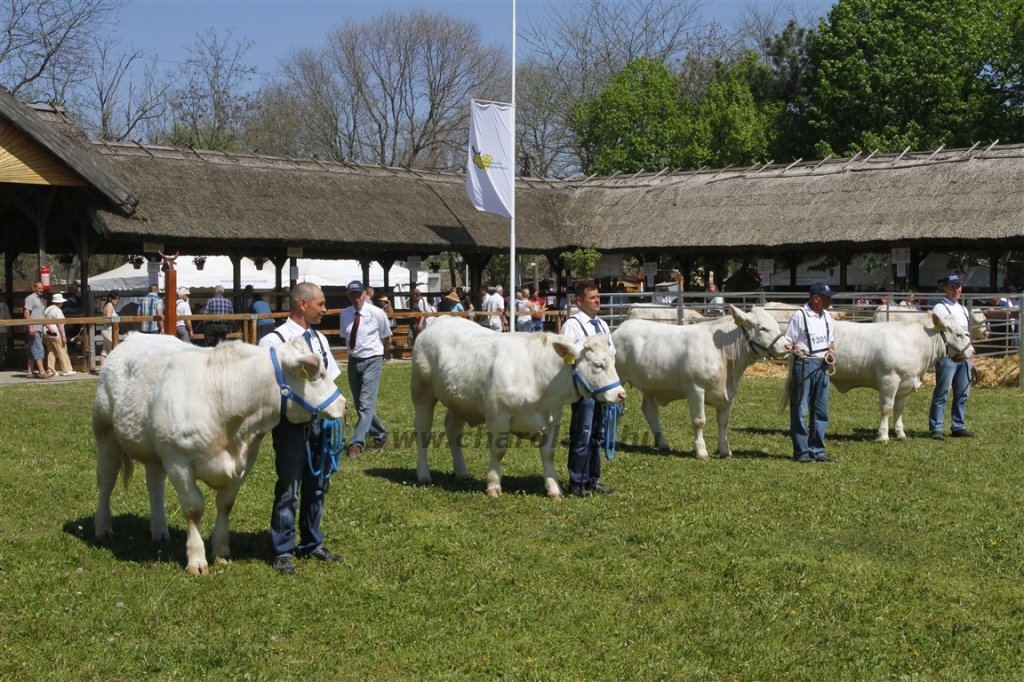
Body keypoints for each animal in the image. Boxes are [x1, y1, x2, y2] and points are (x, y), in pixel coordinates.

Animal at [90, 331, 344, 569]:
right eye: (319, 375)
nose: (344, 404)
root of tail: (134, 336)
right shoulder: (178, 461)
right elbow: (193, 509)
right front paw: (196, 560)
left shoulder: (246, 460)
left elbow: (225, 504)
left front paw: (221, 551)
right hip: (105, 432)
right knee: (106, 480)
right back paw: (102, 528)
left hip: (155, 448)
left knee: (155, 485)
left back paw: (160, 531)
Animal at [411, 315, 626, 497]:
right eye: (598, 365)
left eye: (614, 361)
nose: (621, 394)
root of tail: (440, 319)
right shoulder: (498, 415)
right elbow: (498, 451)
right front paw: (494, 486)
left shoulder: (553, 418)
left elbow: (548, 454)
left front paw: (554, 489)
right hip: (422, 392)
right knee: (423, 431)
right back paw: (424, 475)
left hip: (459, 401)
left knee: (453, 430)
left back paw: (462, 473)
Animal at [610, 307, 786, 456]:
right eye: (762, 328)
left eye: (776, 325)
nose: (788, 345)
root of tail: (622, 327)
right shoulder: (695, 389)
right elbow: (699, 421)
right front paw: (701, 452)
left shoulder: (729, 393)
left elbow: (723, 422)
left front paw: (725, 451)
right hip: (618, 381)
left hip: (650, 385)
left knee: (650, 411)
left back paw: (663, 444)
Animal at [782, 313, 974, 440]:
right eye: (958, 334)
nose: (972, 351)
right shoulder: (889, 379)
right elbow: (887, 408)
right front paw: (883, 435)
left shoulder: (903, 383)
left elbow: (898, 409)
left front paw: (900, 433)